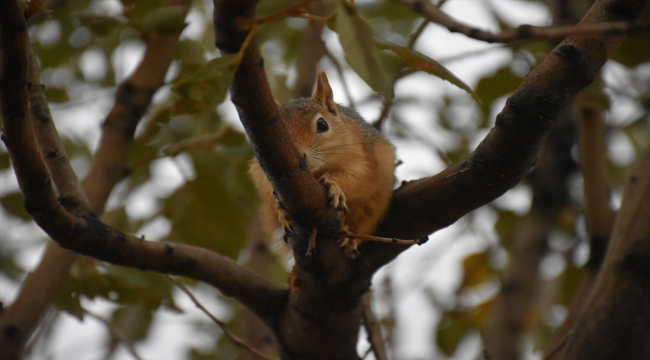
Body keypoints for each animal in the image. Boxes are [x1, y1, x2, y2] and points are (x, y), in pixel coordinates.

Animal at [247, 70, 394, 258]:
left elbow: (360, 178)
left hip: (372, 209)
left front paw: (334, 185)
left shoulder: (363, 157)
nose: (299, 155)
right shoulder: (260, 169)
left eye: (322, 124)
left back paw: (350, 239)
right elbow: (267, 187)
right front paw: (281, 209)